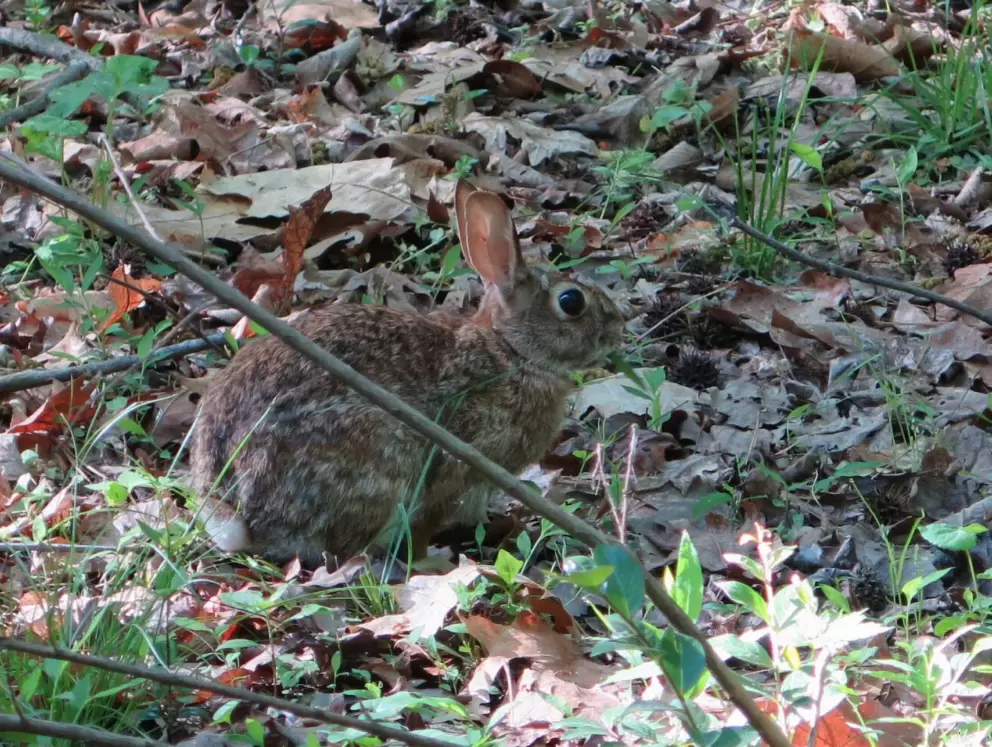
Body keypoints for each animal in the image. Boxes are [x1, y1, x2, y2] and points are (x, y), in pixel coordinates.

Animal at [188, 181, 625, 567]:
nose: (618, 326)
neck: (511, 352)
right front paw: (436, 560)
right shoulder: (456, 470)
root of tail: (232, 509)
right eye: (571, 302)